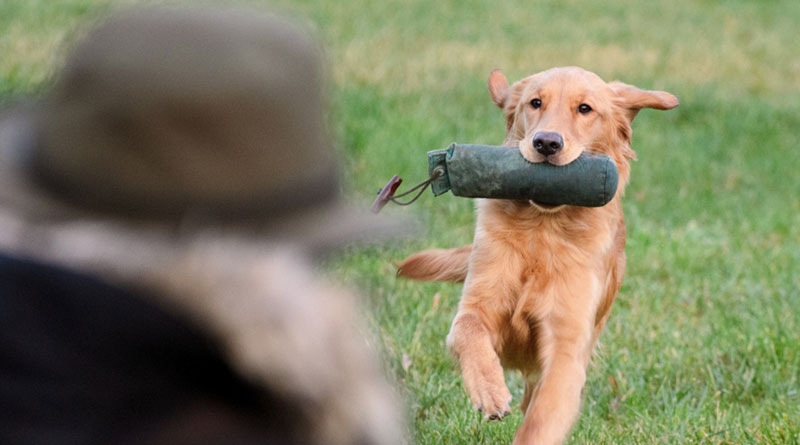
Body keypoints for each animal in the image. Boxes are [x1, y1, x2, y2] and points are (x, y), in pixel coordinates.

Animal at [396, 67, 680, 444]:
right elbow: (468, 329)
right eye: (535, 103)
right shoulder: (480, 304)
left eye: (585, 109)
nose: (546, 143)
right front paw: (489, 390)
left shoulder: (567, 345)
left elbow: (542, 418)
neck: (542, 231)